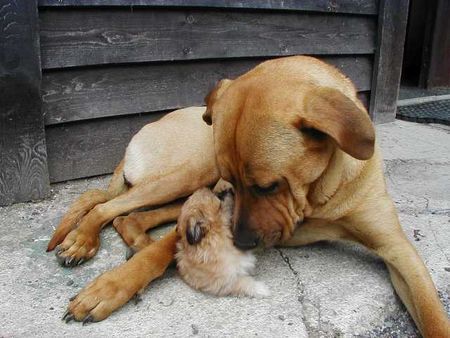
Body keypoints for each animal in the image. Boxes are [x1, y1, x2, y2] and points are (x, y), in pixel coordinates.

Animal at [47, 55, 448, 336]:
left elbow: (432, 313)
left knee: (128, 215)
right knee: (104, 203)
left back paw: (134, 239)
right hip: (194, 171)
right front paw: (113, 285)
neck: (318, 197)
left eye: (268, 186)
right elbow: (163, 248)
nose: (240, 242)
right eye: (235, 184)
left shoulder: (397, 249)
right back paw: (82, 241)